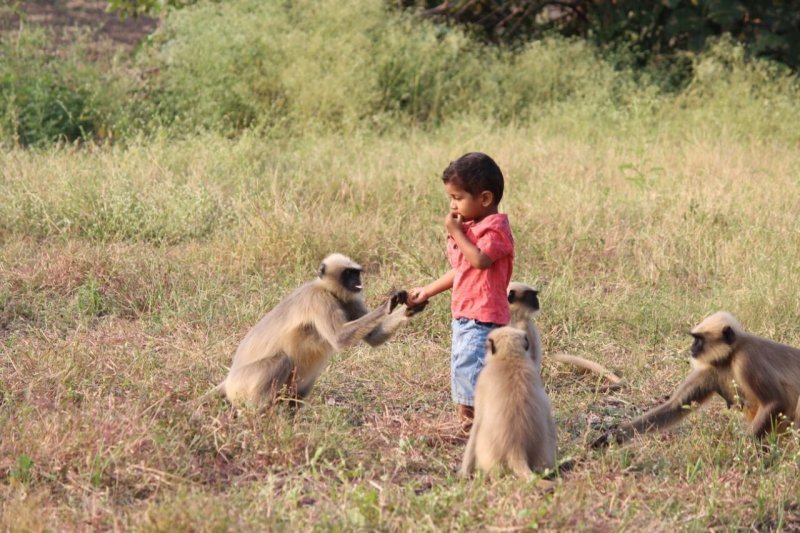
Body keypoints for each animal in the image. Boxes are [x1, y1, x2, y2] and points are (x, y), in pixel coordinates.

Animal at [205, 254, 424, 408]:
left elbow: (374, 337)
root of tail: (229, 378)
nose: (357, 281)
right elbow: (339, 338)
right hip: (244, 384)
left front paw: (413, 307)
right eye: (348, 274)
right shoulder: (319, 299)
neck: (328, 290)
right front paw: (388, 304)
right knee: (282, 360)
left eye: (356, 272)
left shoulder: (350, 300)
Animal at [592, 310, 800, 446]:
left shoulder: (747, 359)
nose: (691, 348)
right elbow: (674, 407)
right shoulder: (709, 370)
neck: (730, 356)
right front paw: (611, 438)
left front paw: (741, 450)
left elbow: (776, 401)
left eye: (698, 340)